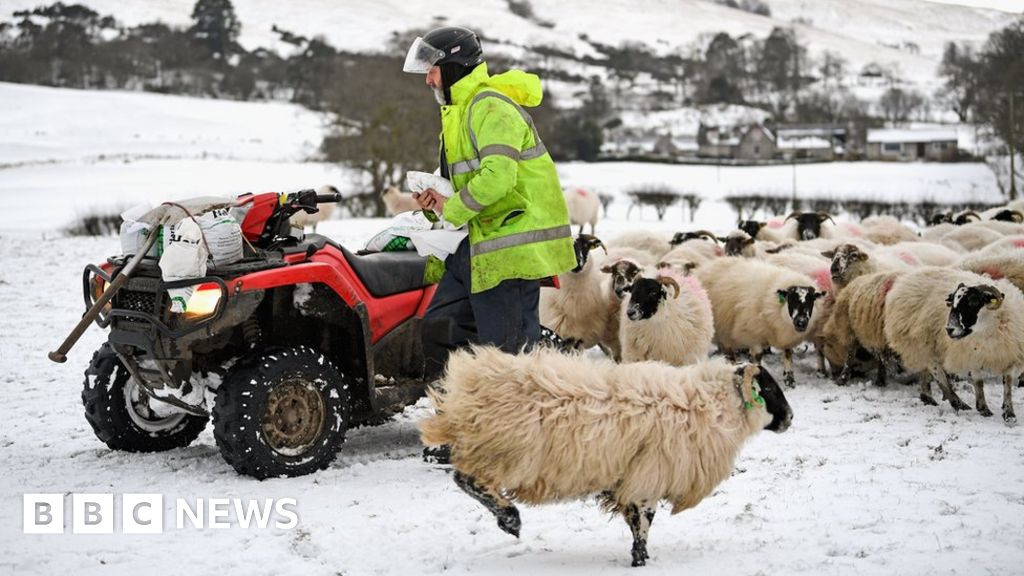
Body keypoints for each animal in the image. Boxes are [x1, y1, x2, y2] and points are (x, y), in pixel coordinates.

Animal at [419, 344, 794, 565]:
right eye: (770, 388)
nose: (791, 418)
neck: (713, 404)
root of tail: (471, 388)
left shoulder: (630, 478)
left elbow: (634, 520)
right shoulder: (648, 476)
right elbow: (645, 522)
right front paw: (641, 560)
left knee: (465, 477)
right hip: (507, 453)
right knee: (467, 478)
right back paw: (509, 518)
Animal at [696, 256, 831, 385]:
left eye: (811, 301)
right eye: (791, 299)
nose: (801, 323)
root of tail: (708, 265)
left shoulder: (786, 335)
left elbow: (788, 354)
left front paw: (789, 379)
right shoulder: (753, 332)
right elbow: (758, 357)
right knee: (727, 350)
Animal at [880, 266, 1024, 420]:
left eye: (973, 302)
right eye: (952, 305)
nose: (949, 329)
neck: (986, 329)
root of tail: (905, 280)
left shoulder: (1010, 355)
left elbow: (1007, 383)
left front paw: (1009, 412)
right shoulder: (970, 355)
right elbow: (978, 382)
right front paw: (984, 409)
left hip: (926, 344)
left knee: (926, 369)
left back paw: (928, 397)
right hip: (921, 340)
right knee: (937, 372)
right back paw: (957, 403)